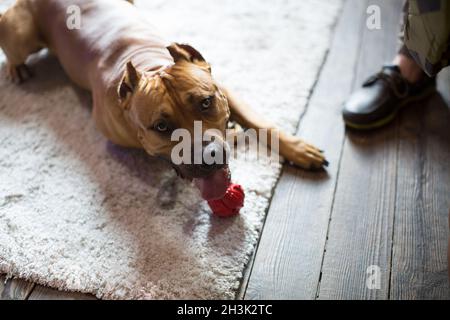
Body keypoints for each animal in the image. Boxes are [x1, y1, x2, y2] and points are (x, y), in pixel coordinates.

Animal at [1, 0, 328, 200]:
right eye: (161, 127)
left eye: (206, 103)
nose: (208, 156)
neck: (150, 63)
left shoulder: (225, 88)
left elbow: (260, 121)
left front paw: (299, 149)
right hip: (20, 34)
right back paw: (17, 68)